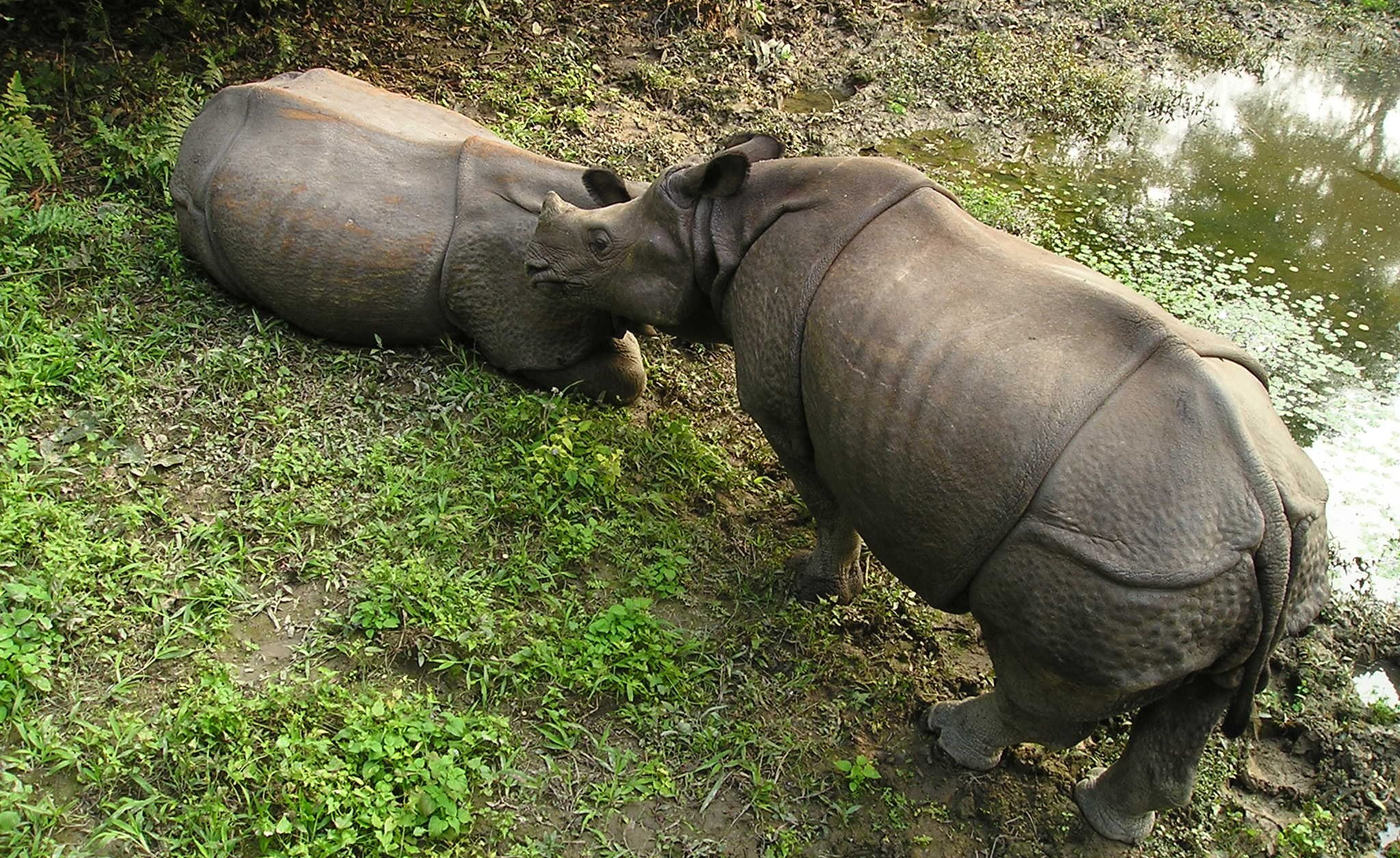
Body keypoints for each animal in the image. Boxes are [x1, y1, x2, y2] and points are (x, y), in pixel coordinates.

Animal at [522, 135, 1331, 842]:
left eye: (600, 244)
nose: (531, 264)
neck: (720, 224)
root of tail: (1264, 505)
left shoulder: (785, 404)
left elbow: (825, 500)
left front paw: (816, 587)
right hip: (1232, 551)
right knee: (1199, 699)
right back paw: (1107, 821)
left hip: (1122, 555)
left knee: (1042, 684)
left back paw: (945, 735)